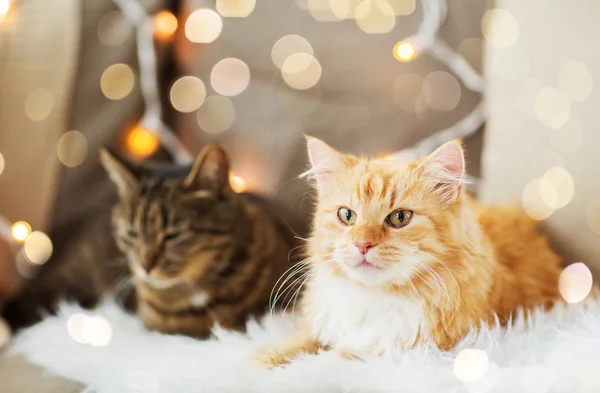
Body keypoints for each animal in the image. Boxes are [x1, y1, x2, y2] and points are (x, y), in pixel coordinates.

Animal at [251, 136, 560, 366]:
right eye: (347, 215)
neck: (375, 297)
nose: (362, 244)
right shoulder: (325, 324)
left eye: (399, 218)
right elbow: (300, 341)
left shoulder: (393, 348)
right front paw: (266, 356)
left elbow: (327, 360)